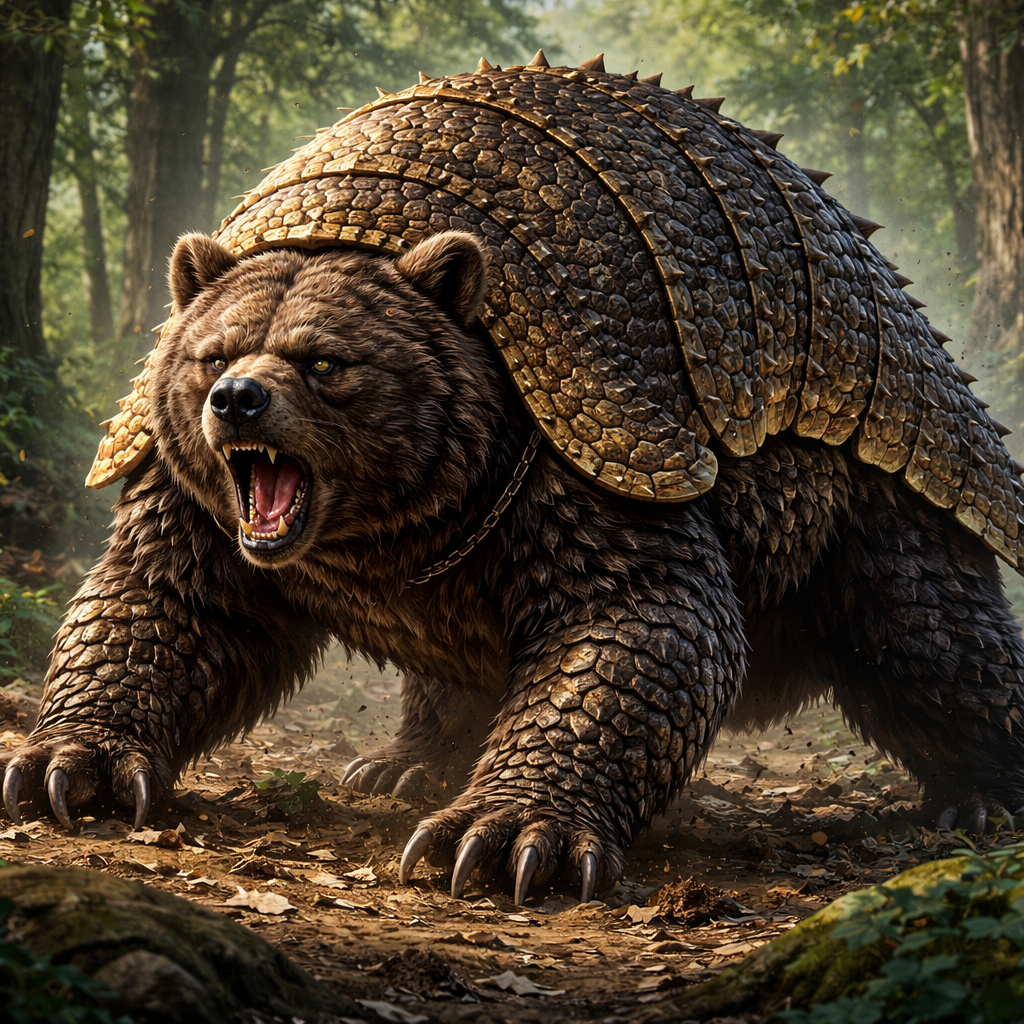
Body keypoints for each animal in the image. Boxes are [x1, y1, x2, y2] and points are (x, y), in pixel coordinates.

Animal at [4, 230, 1024, 905]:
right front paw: (70, 764)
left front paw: (507, 836)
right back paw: (403, 768)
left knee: (933, 638)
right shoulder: (204, 507)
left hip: (883, 472)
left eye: (325, 360)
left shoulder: (601, 441)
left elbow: (638, 617)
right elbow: (165, 599)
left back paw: (985, 798)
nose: (236, 400)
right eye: (211, 351)